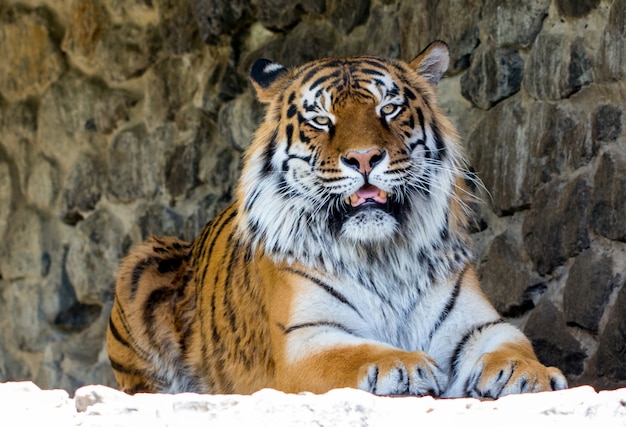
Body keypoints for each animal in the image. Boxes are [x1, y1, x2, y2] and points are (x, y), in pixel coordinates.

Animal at [106, 41, 564, 400]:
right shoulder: (306, 339)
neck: (382, 254)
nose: (364, 158)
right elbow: (355, 353)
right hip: (142, 259)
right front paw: (405, 365)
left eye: (389, 109)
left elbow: (515, 345)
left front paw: (529, 373)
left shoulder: (481, 325)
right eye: (321, 120)